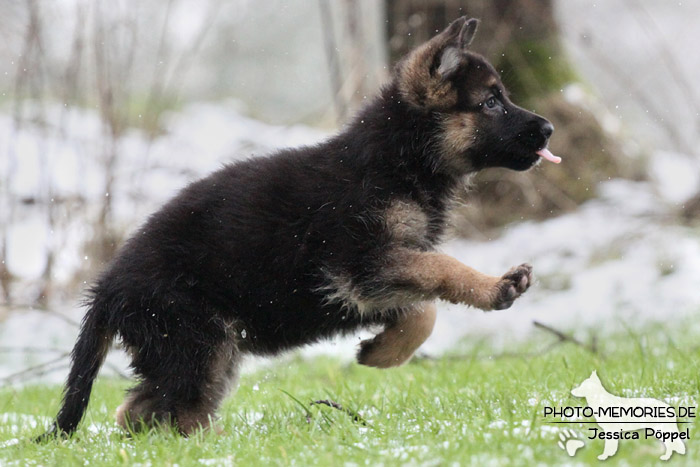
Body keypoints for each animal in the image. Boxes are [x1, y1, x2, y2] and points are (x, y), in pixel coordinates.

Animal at [41, 14, 560, 438]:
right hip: (199, 343)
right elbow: (442, 273)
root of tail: (107, 287)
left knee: (142, 412)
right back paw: (219, 445)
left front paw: (380, 351)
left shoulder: (375, 277)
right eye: (491, 102)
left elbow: (422, 309)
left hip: (205, 352)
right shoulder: (363, 263)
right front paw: (496, 288)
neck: (397, 158)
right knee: (164, 412)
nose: (550, 128)